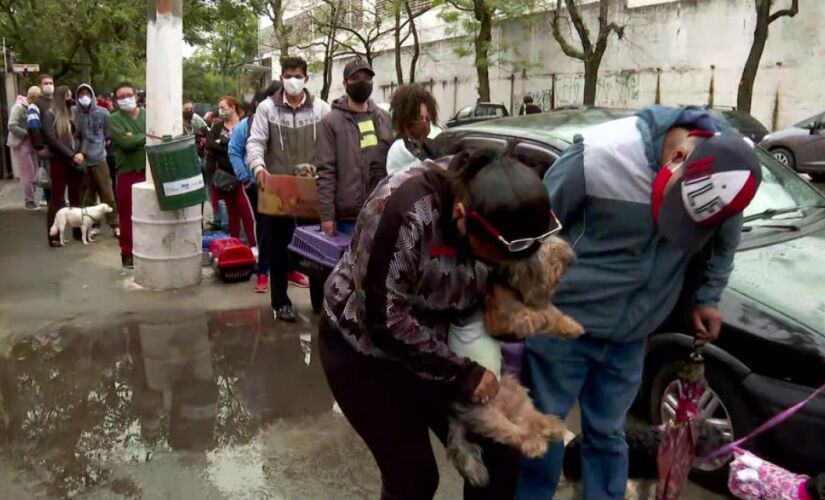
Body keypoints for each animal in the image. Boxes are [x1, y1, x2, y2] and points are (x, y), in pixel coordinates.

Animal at [448, 236, 584, 486]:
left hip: (518, 393)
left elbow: (551, 314)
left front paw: (571, 326)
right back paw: (535, 444)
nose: (568, 260)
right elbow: (535, 316)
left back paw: (550, 427)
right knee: (514, 432)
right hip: (488, 413)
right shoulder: (501, 316)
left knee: (530, 419)